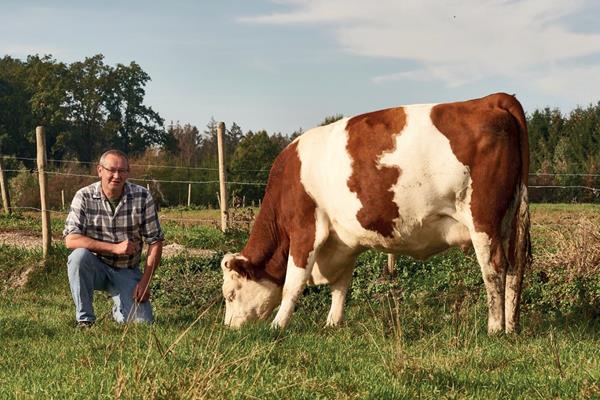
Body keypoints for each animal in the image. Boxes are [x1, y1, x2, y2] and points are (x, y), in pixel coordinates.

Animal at [223, 93, 532, 334]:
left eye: (230, 294)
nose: (229, 327)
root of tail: (493, 99)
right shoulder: (343, 241)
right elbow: (341, 285)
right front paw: (333, 323)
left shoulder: (305, 228)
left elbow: (293, 284)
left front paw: (278, 325)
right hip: (508, 221)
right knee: (514, 268)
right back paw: (511, 326)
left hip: (482, 220)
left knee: (494, 268)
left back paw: (494, 328)